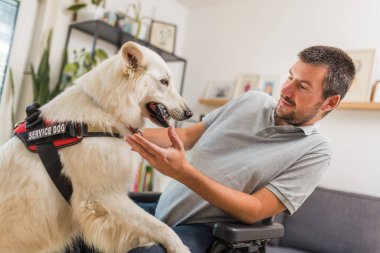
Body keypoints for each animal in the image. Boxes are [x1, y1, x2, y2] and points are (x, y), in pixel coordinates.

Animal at [0, 42, 193, 253]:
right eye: (164, 82)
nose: (190, 113)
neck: (105, 110)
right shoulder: (103, 197)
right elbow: (160, 226)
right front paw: (180, 247)